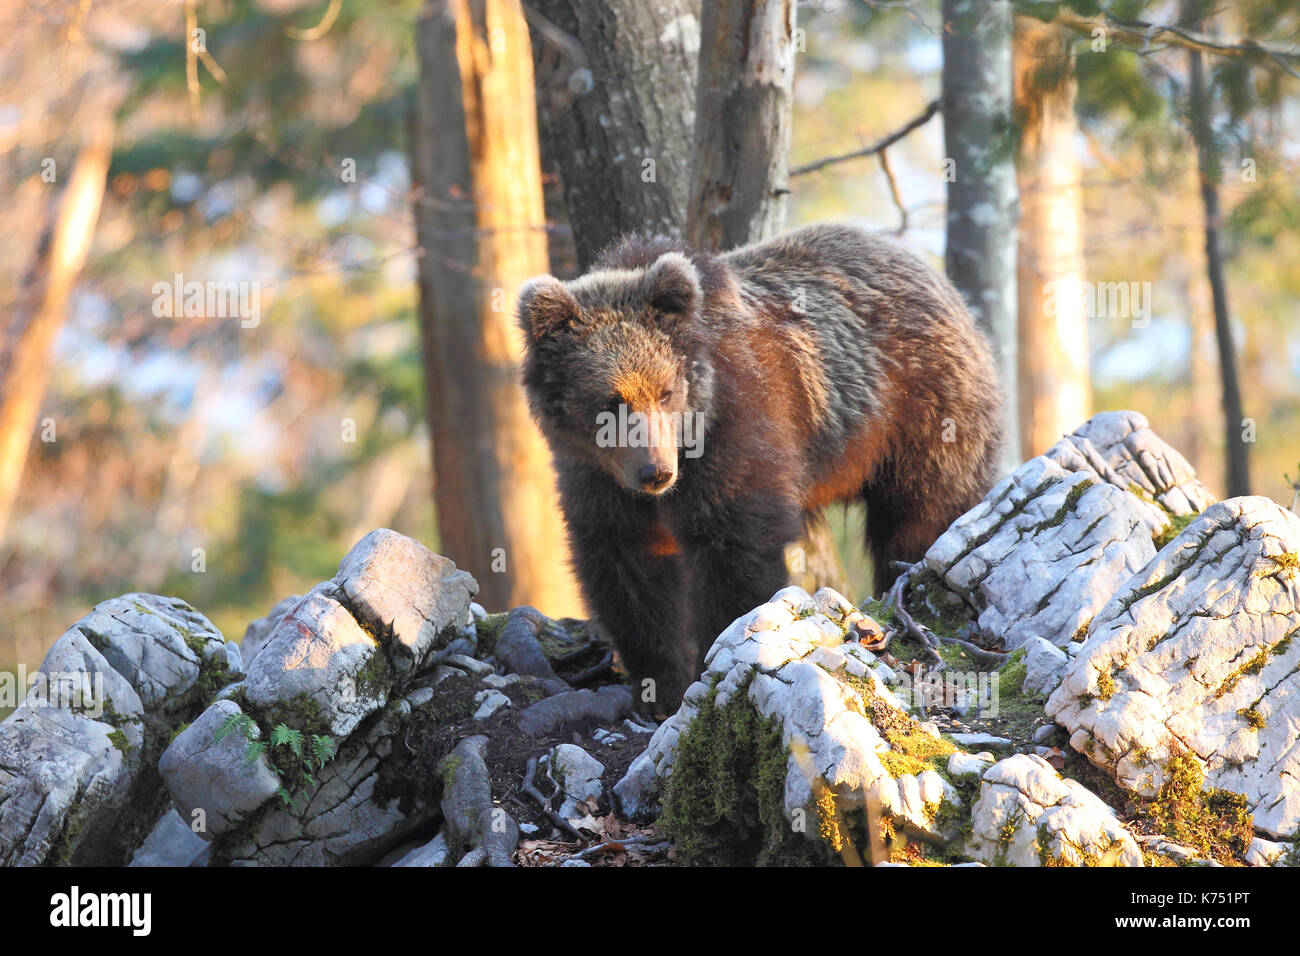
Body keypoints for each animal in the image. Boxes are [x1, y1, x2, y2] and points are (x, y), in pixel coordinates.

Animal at [517, 223, 1003, 714]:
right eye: (610, 401)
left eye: (665, 391)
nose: (656, 472)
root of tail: (936, 278)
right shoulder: (597, 477)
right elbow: (627, 568)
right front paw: (658, 687)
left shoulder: (737, 429)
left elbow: (736, 546)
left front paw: (712, 658)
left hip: (920, 414)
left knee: (925, 513)